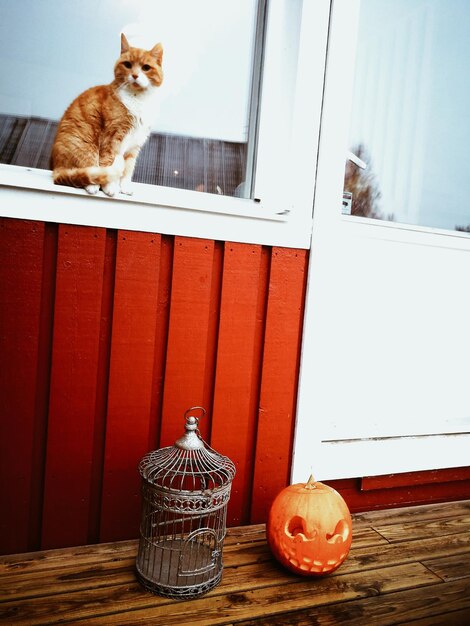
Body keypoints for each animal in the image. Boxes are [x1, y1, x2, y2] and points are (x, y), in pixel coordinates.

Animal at [51, 34, 163, 195]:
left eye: (146, 68)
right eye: (128, 64)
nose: (135, 75)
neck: (138, 100)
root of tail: (56, 167)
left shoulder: (134, 146)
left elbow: (128, 168)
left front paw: (125, 187)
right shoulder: (112, 138)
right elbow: (108, 163)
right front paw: (110, 187)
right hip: (87, 146)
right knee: (84, 172)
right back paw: (93, 186)